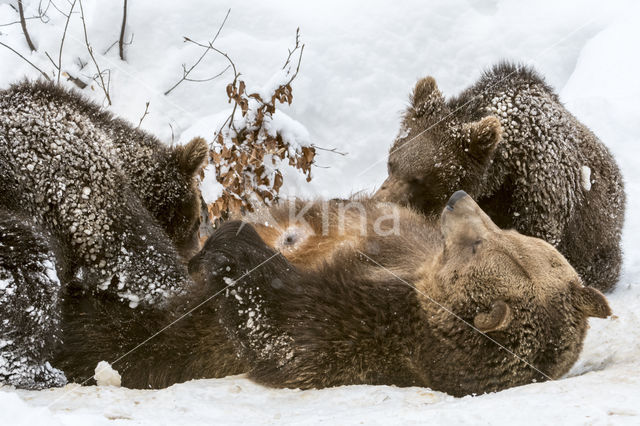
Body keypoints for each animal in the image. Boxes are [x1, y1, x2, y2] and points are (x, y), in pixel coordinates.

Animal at [189, 191, 608, 398]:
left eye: (479, 243)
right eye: (508, 231)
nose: (458, 197)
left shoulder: (360, 332)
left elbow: (277, 326)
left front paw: (229, 247)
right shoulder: (400, 251)